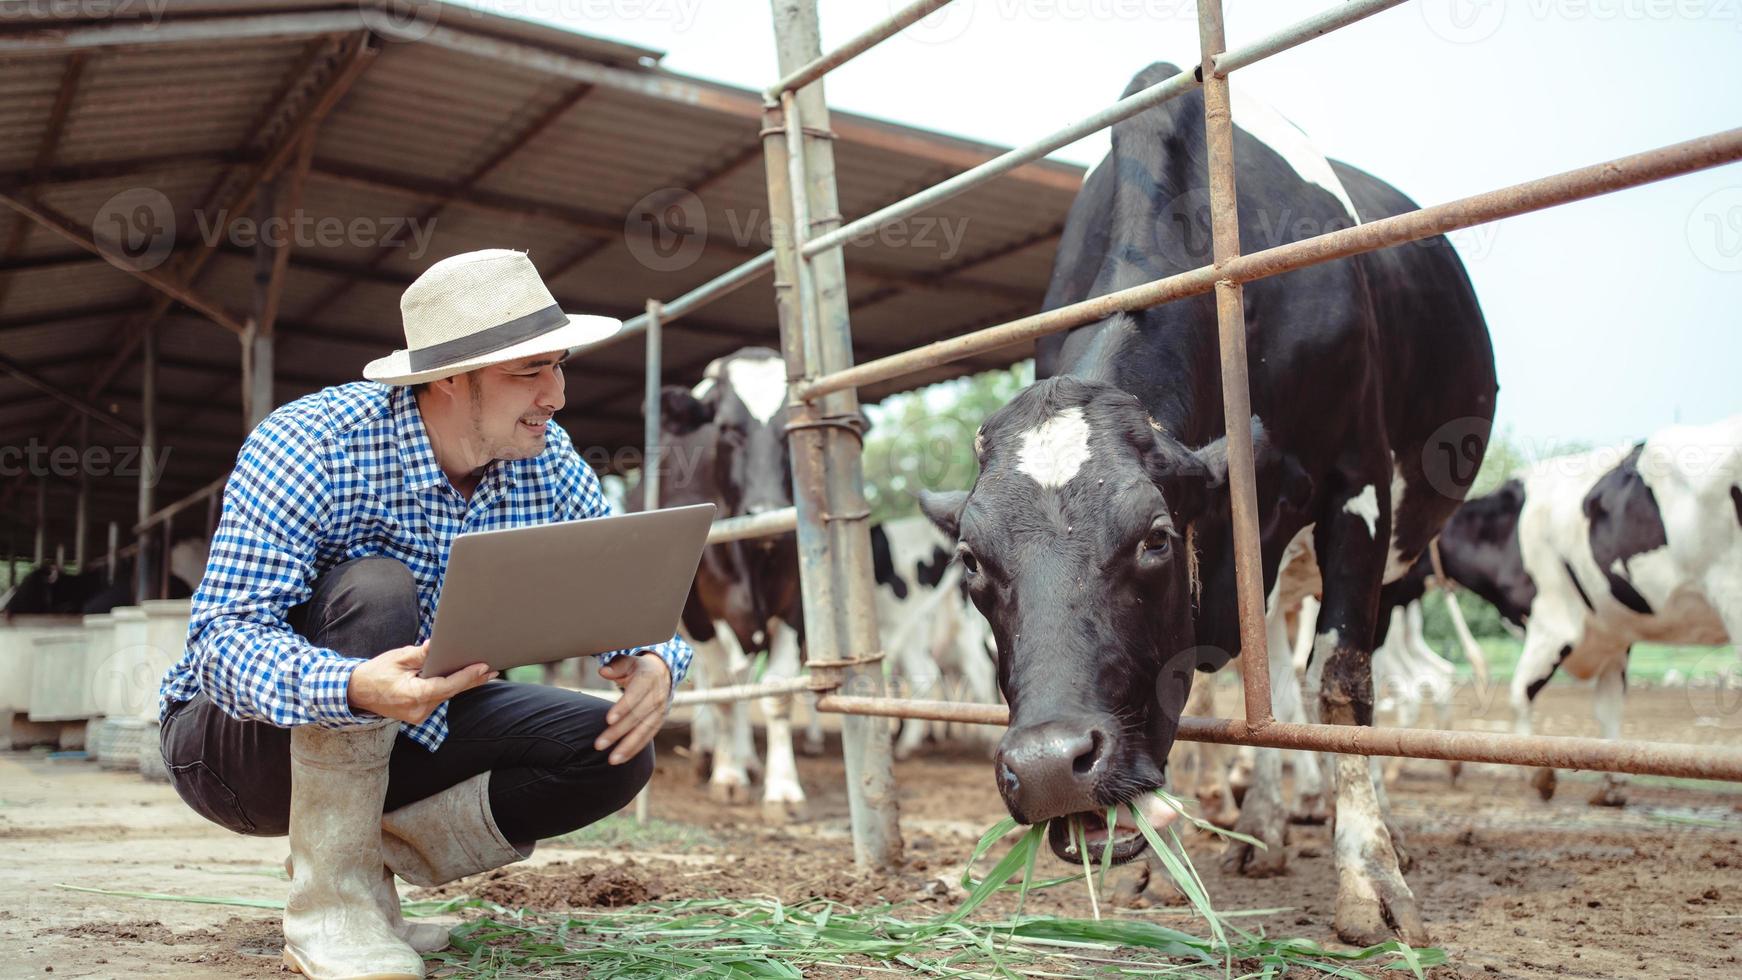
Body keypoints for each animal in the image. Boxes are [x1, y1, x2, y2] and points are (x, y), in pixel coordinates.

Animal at [912, 63, 1498, 953]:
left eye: (1155, 539)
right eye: (972, 562)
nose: (1049, 767)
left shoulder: (1356, 484)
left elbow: (1342, 681)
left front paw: (1370, 875)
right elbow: (1216, 690)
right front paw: (1167, 863)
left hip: (1395, 551)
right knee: (1267, 680)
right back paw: (1261, 827)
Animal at [1428, 417, 1742, 807]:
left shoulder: (1554, 624)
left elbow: (1519, 693)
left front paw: (1539, 776)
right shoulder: (1613, 635)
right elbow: (1608, 710)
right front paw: (1612, 788)